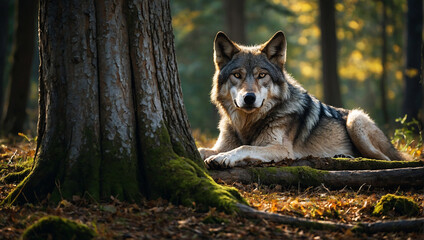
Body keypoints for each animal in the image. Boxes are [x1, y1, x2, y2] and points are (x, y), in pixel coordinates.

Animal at [199, 30, 408, 169]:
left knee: (385, 160)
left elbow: (244, 147)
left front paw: (223, 158)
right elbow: (201, 149)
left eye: (261, 75)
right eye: (237, 75)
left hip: (356, 119)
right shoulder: (219, 145)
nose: (249, 98)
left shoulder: (282, 150)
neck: (247, 124)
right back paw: (342, 156)